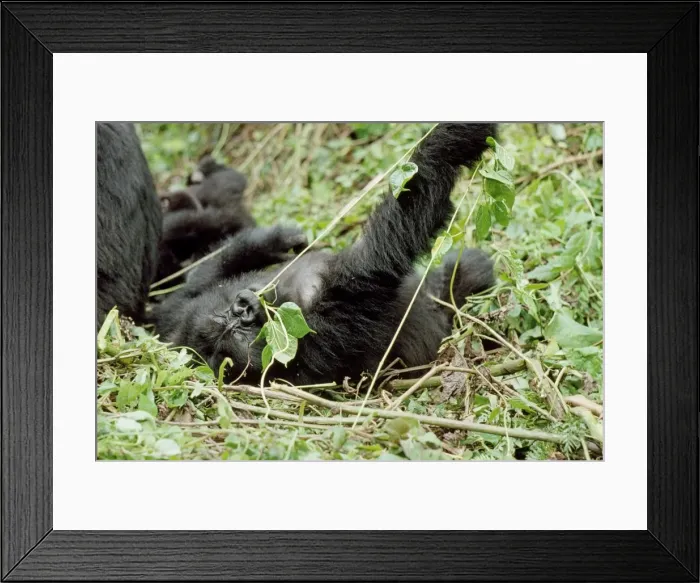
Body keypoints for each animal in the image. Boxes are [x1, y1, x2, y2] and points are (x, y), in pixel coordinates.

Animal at [152, 123, 496, 385]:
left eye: (230, 316)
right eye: (240, 331)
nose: (244, 307)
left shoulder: (179, 309)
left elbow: (194, 281)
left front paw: (271, 240)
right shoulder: (326, 331)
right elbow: (381, 253)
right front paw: (452, 138)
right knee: (465, 274)